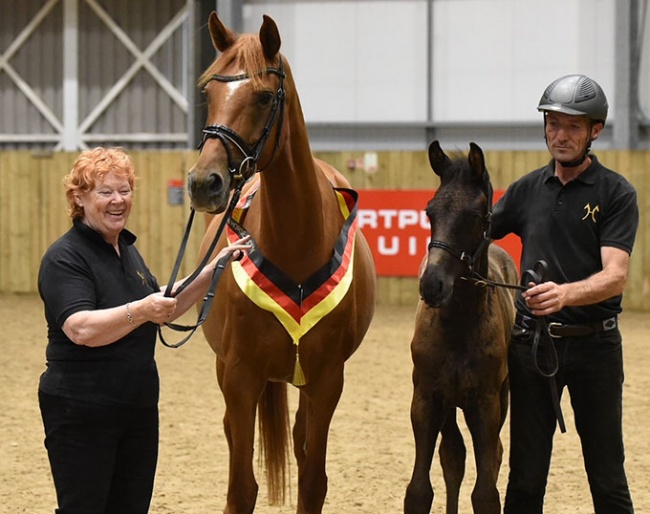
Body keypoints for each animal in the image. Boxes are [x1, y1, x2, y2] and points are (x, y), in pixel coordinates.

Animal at [185, 11, 374, 512]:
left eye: (264, 96)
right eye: (208, 93)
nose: (204, 182)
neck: (295, 241)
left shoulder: (327, 381)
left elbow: (312, 480)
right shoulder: (239, 376)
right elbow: (241, 487)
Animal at [402, 140, 512, 512]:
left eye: (475, 216)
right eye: (429, 212)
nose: (431, 284)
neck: (458, 327)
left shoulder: (487, 403)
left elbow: (486, 492)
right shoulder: (426, 400)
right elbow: (419, 490)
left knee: (492, 454)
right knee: (453, 457)